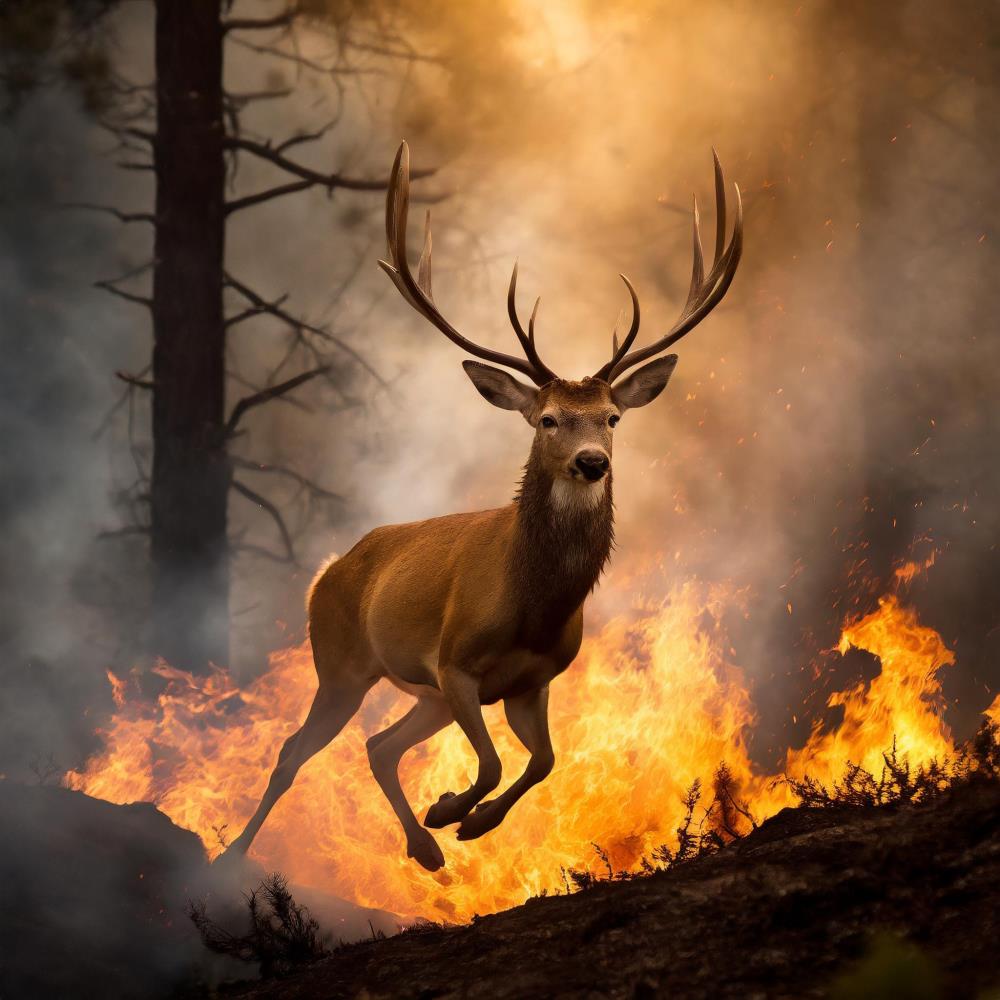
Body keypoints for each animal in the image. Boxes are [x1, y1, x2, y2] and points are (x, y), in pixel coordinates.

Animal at [225, 143, 744, 876]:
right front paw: (452, 810)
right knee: (294, 751)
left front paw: (466, 821)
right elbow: (496, 763)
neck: (530, 607)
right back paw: (233, 855)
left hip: (423, 696)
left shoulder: (534, 680)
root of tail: (326, 570)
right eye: (549, 419)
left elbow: (544, 762)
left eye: (612, 418)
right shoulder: (455, 662)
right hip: (342, 662)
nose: (593, 461)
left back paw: (422, 849)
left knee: (379, 745)